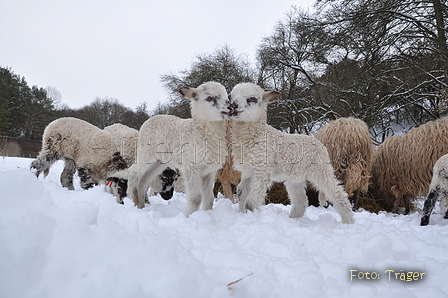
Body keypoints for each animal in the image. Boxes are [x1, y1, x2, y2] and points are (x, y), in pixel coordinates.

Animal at [128, 81, 229, 214]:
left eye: (227, 96)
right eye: (209, 98)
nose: (231, 107)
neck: (198, 132)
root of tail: (150, 119)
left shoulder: (208, 171)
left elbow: (209, 198)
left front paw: (206, 214)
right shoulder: (191, 167)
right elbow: (196, 198)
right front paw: (190, 216)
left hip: (158, 161)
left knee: (144, 180)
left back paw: (141, 205)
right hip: (146, 153)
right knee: (133, 173)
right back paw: (135, 201)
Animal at [229, 82, 356, 225]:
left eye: (252, 99)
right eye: (230, 96)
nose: (233, 106)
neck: (254, 137)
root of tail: (318, 141)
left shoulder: (263, 170)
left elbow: (250, 201)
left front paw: (250, 217)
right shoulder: (248, 171)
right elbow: (241, 193)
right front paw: (241, 215)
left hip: (321, 169)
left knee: (338, 193)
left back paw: (349, 222)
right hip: (295, 177)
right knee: (301, 200)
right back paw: (293, 219)